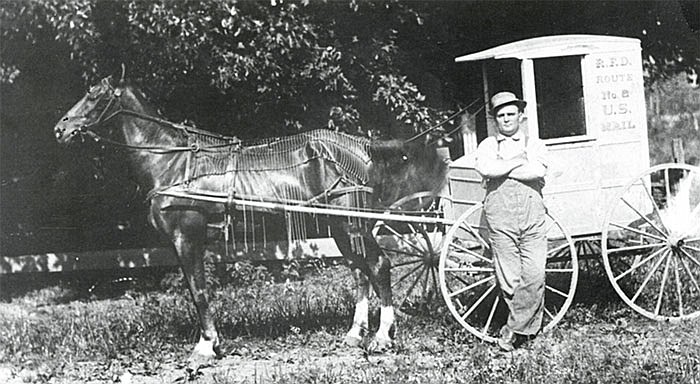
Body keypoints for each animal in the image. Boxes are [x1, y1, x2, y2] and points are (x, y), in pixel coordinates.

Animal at [54, 76, 448, 366]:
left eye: (93, 96)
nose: (60, 128)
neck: (173, 162)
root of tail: (359, 146)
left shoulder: (186, 237)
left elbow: (198, 291)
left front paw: (206, 347)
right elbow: (198, 290)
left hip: (354, 225)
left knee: (378, 266)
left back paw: (381, 337)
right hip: (341, 228)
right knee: (359, 271)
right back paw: (355, 334)